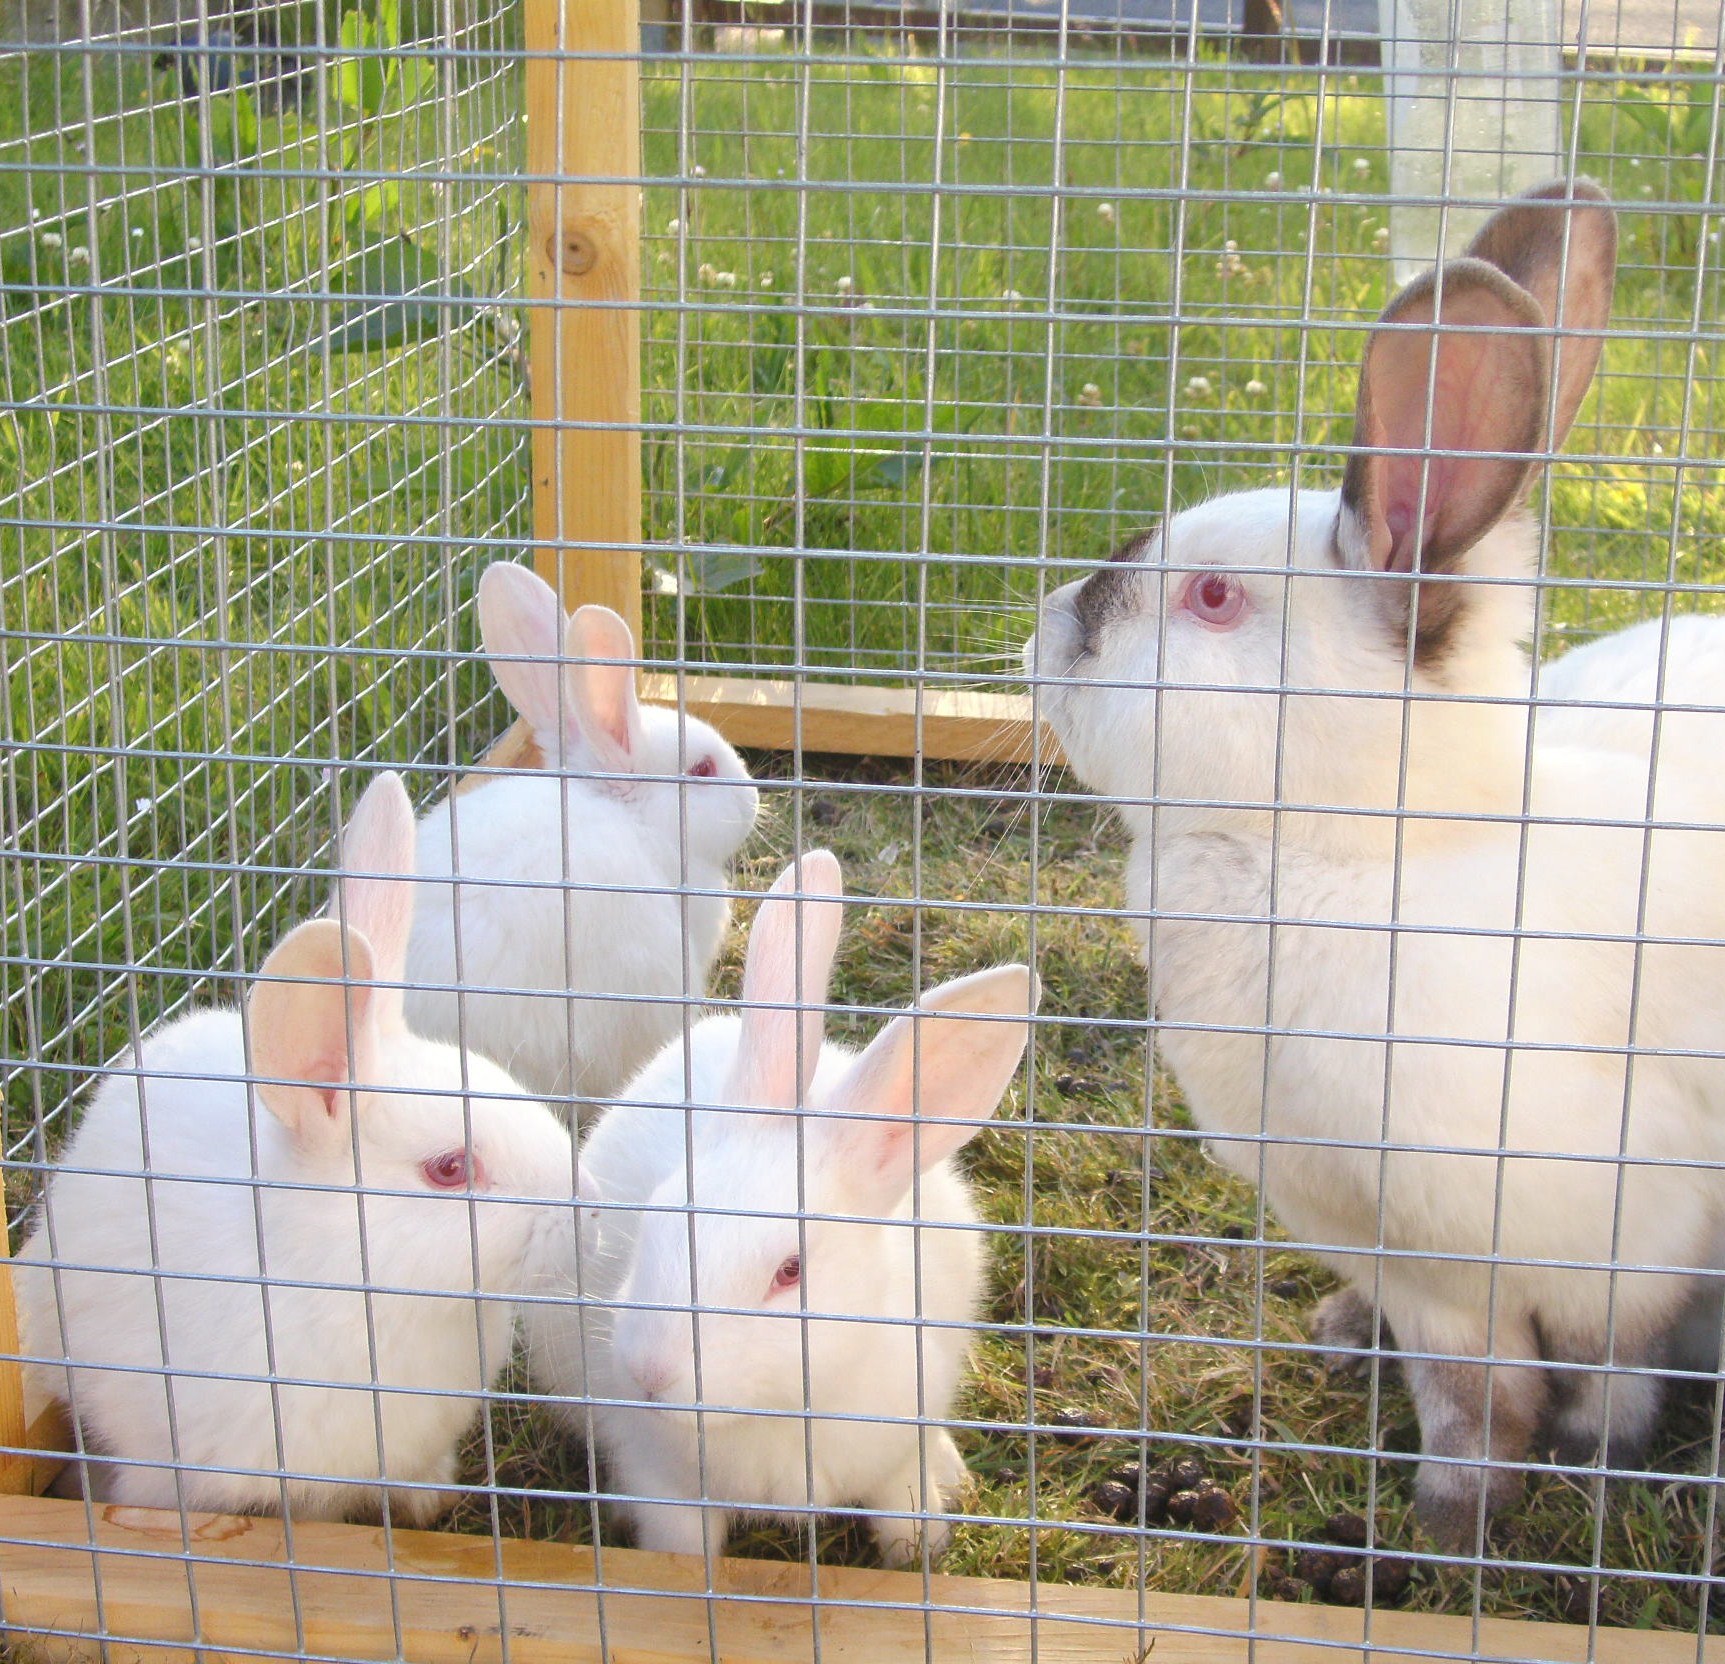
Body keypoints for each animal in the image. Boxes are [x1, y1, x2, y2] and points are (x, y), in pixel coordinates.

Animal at [520, 850, 1038, 1565]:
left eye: (791, 1271)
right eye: (655, 1217)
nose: (650, 1373)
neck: (780, 1410)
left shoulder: (895, 1453)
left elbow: (904, 1512)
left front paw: (922, 1553)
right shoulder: (663, 1483)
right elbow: (683, 1551)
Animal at [1024, 178, 1725, 1547]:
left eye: (1213, 598)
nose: (1042, 634)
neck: (1347, 856)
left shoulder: (1628, 1241)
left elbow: (1583, 1373)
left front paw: (1516, 1494)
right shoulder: (1410, 1257)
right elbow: (1466, 1389)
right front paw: (1444, 1500)